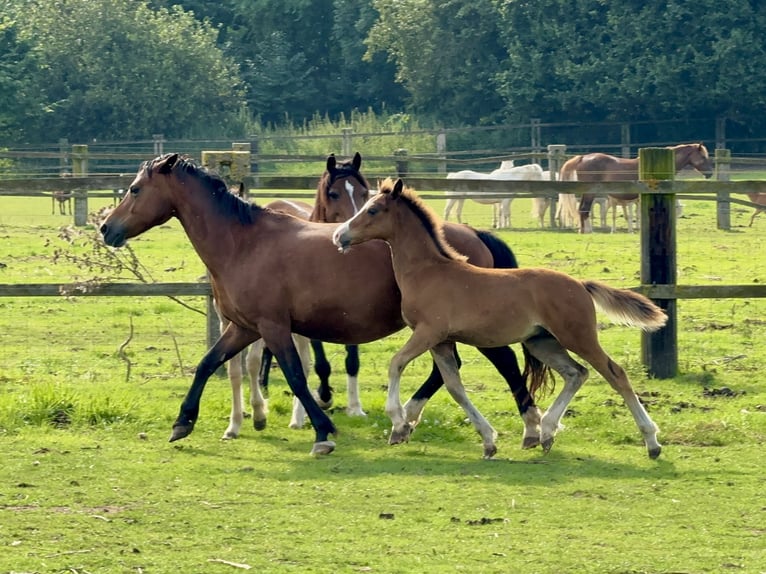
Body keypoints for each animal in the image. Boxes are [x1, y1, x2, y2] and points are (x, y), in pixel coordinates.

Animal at [332, 178, 668, 462]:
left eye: (372, 209)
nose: (339, 235)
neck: (429, 272)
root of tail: (581, 285)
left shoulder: (428, 333)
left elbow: (396, 363)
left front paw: (398, 421)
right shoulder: (442, 342)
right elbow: (454, 387)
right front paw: (487, 441)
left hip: (578, 336)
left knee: (615, 373)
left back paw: (651, 442)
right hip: (541, 342)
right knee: (576, 373)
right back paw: (546, 432)